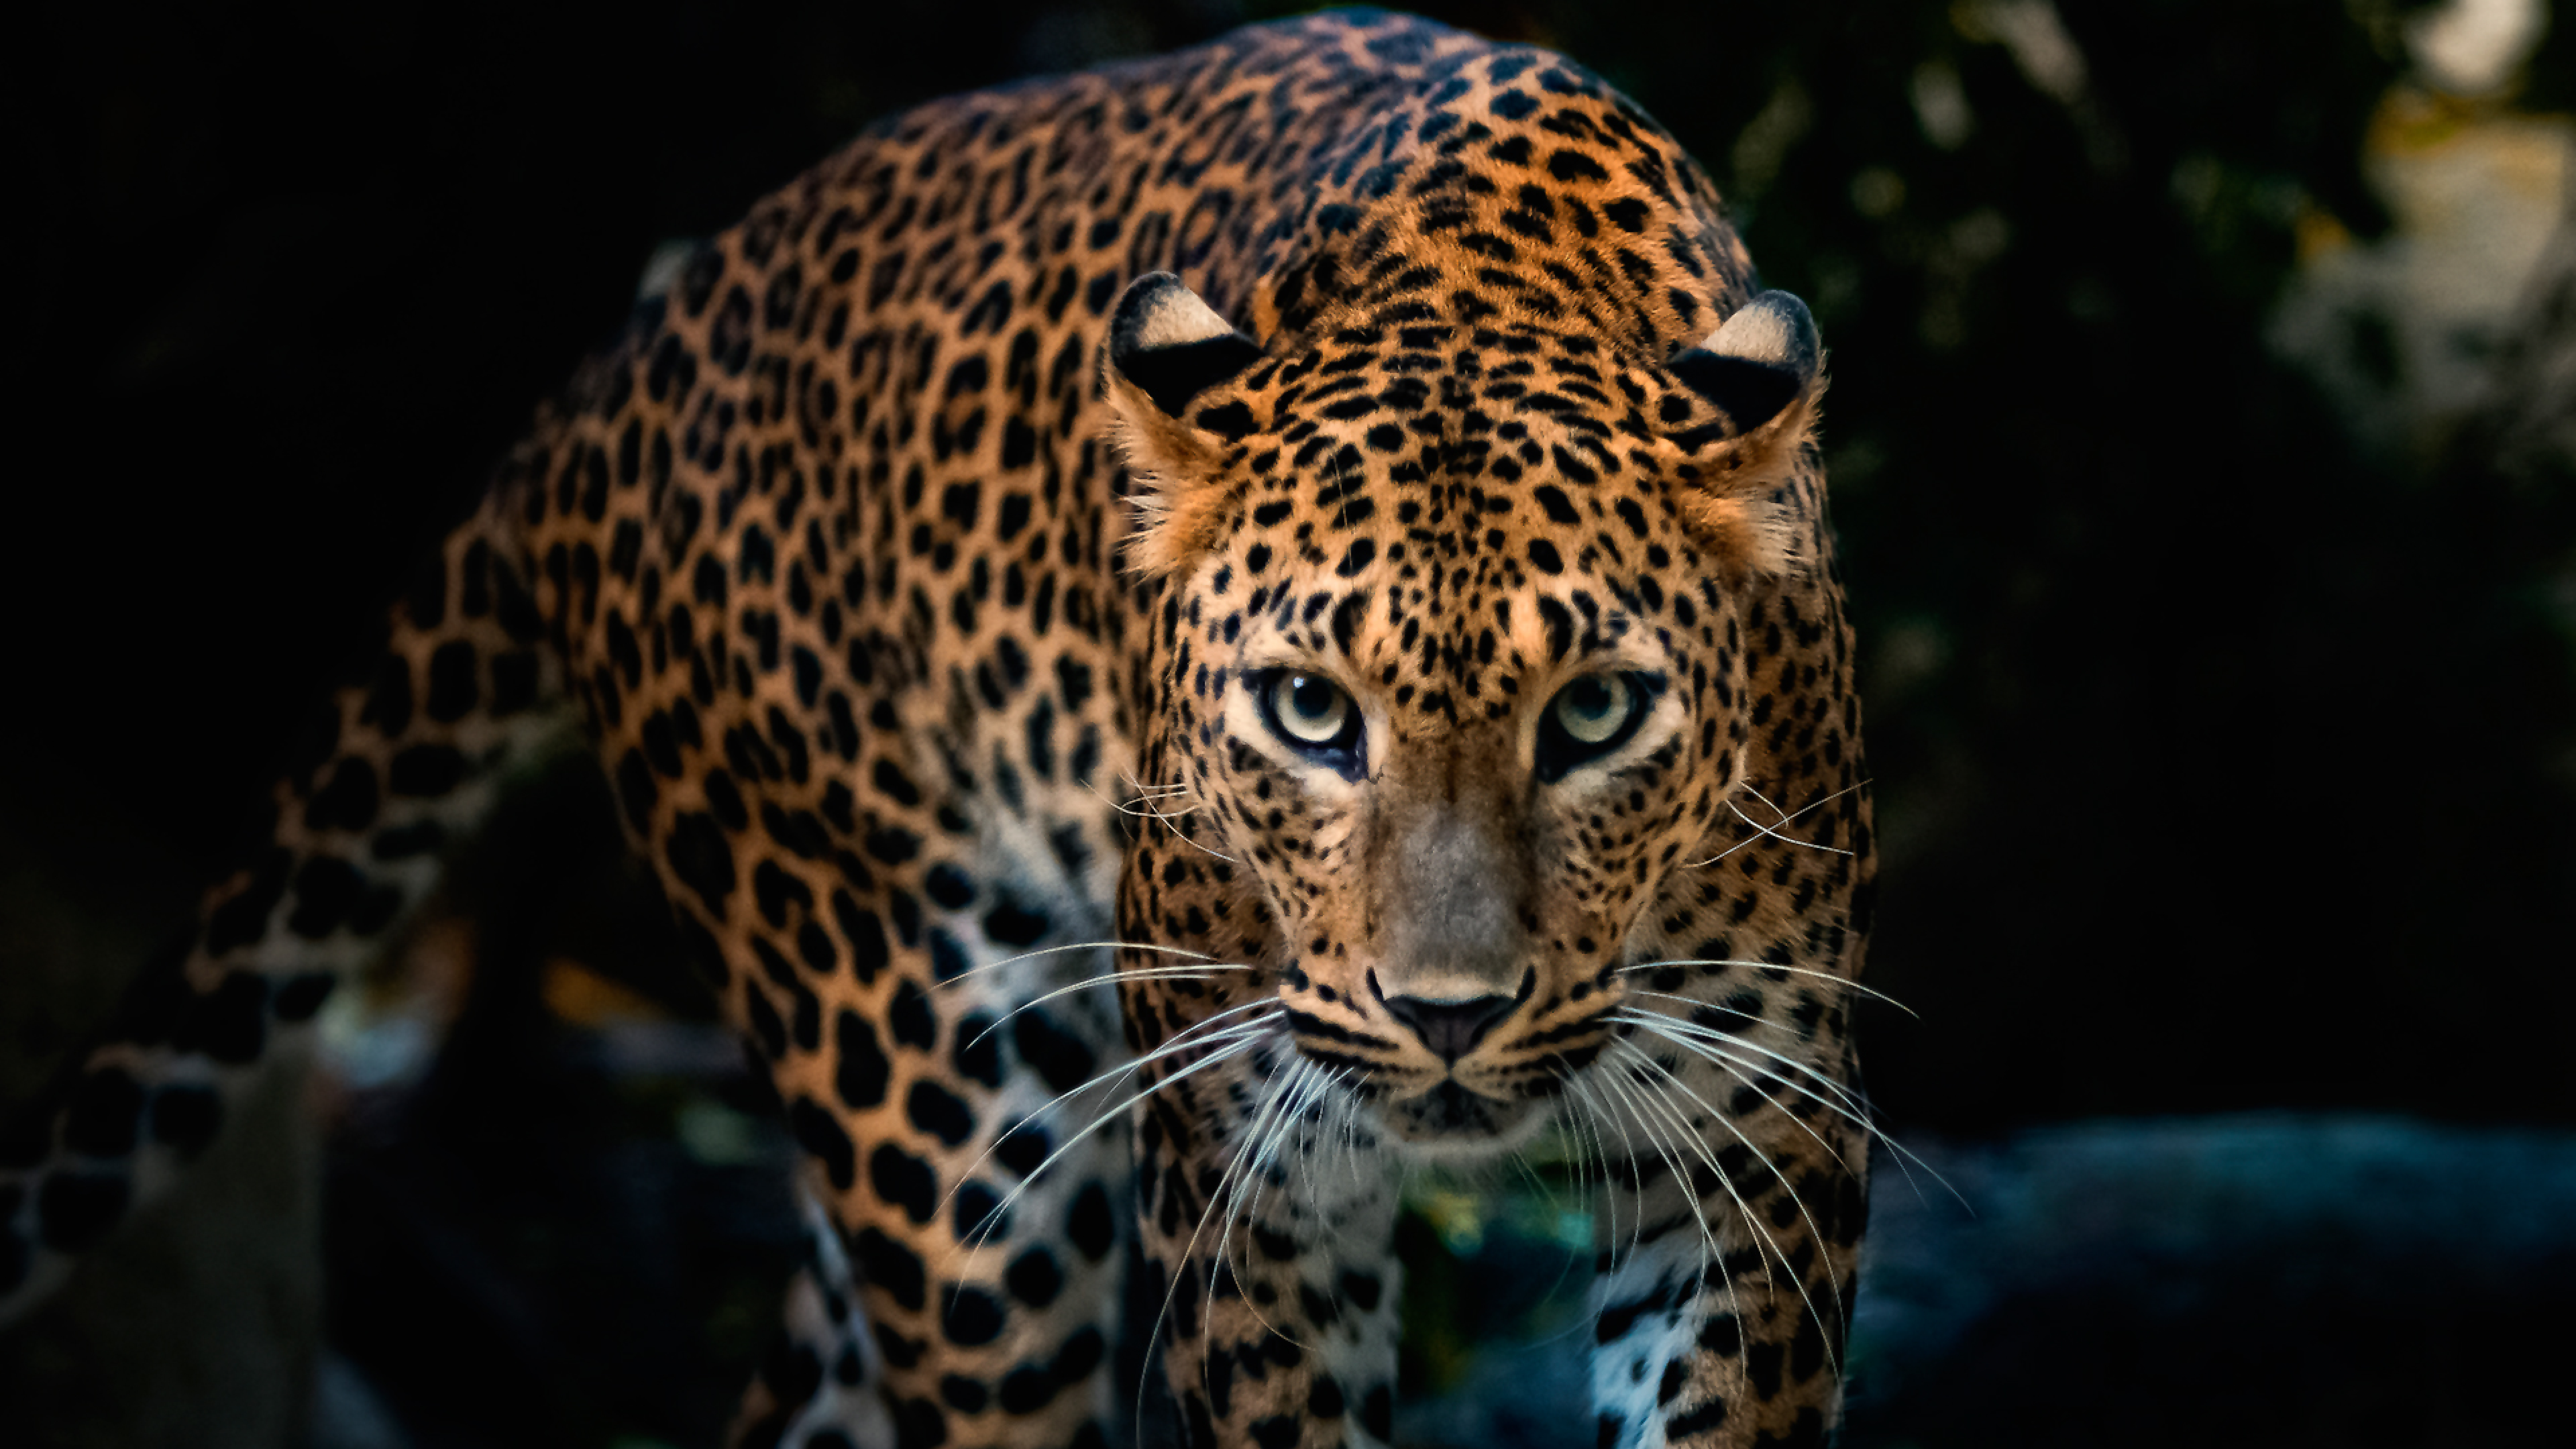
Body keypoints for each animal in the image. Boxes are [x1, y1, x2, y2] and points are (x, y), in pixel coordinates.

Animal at [0, 10, 1877, 1448]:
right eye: (1307, 713)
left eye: (1596, 713)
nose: (1448, 1017)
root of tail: (617, 366)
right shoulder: (1246, 1173)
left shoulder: (1758, 1147)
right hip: (937, 1108)